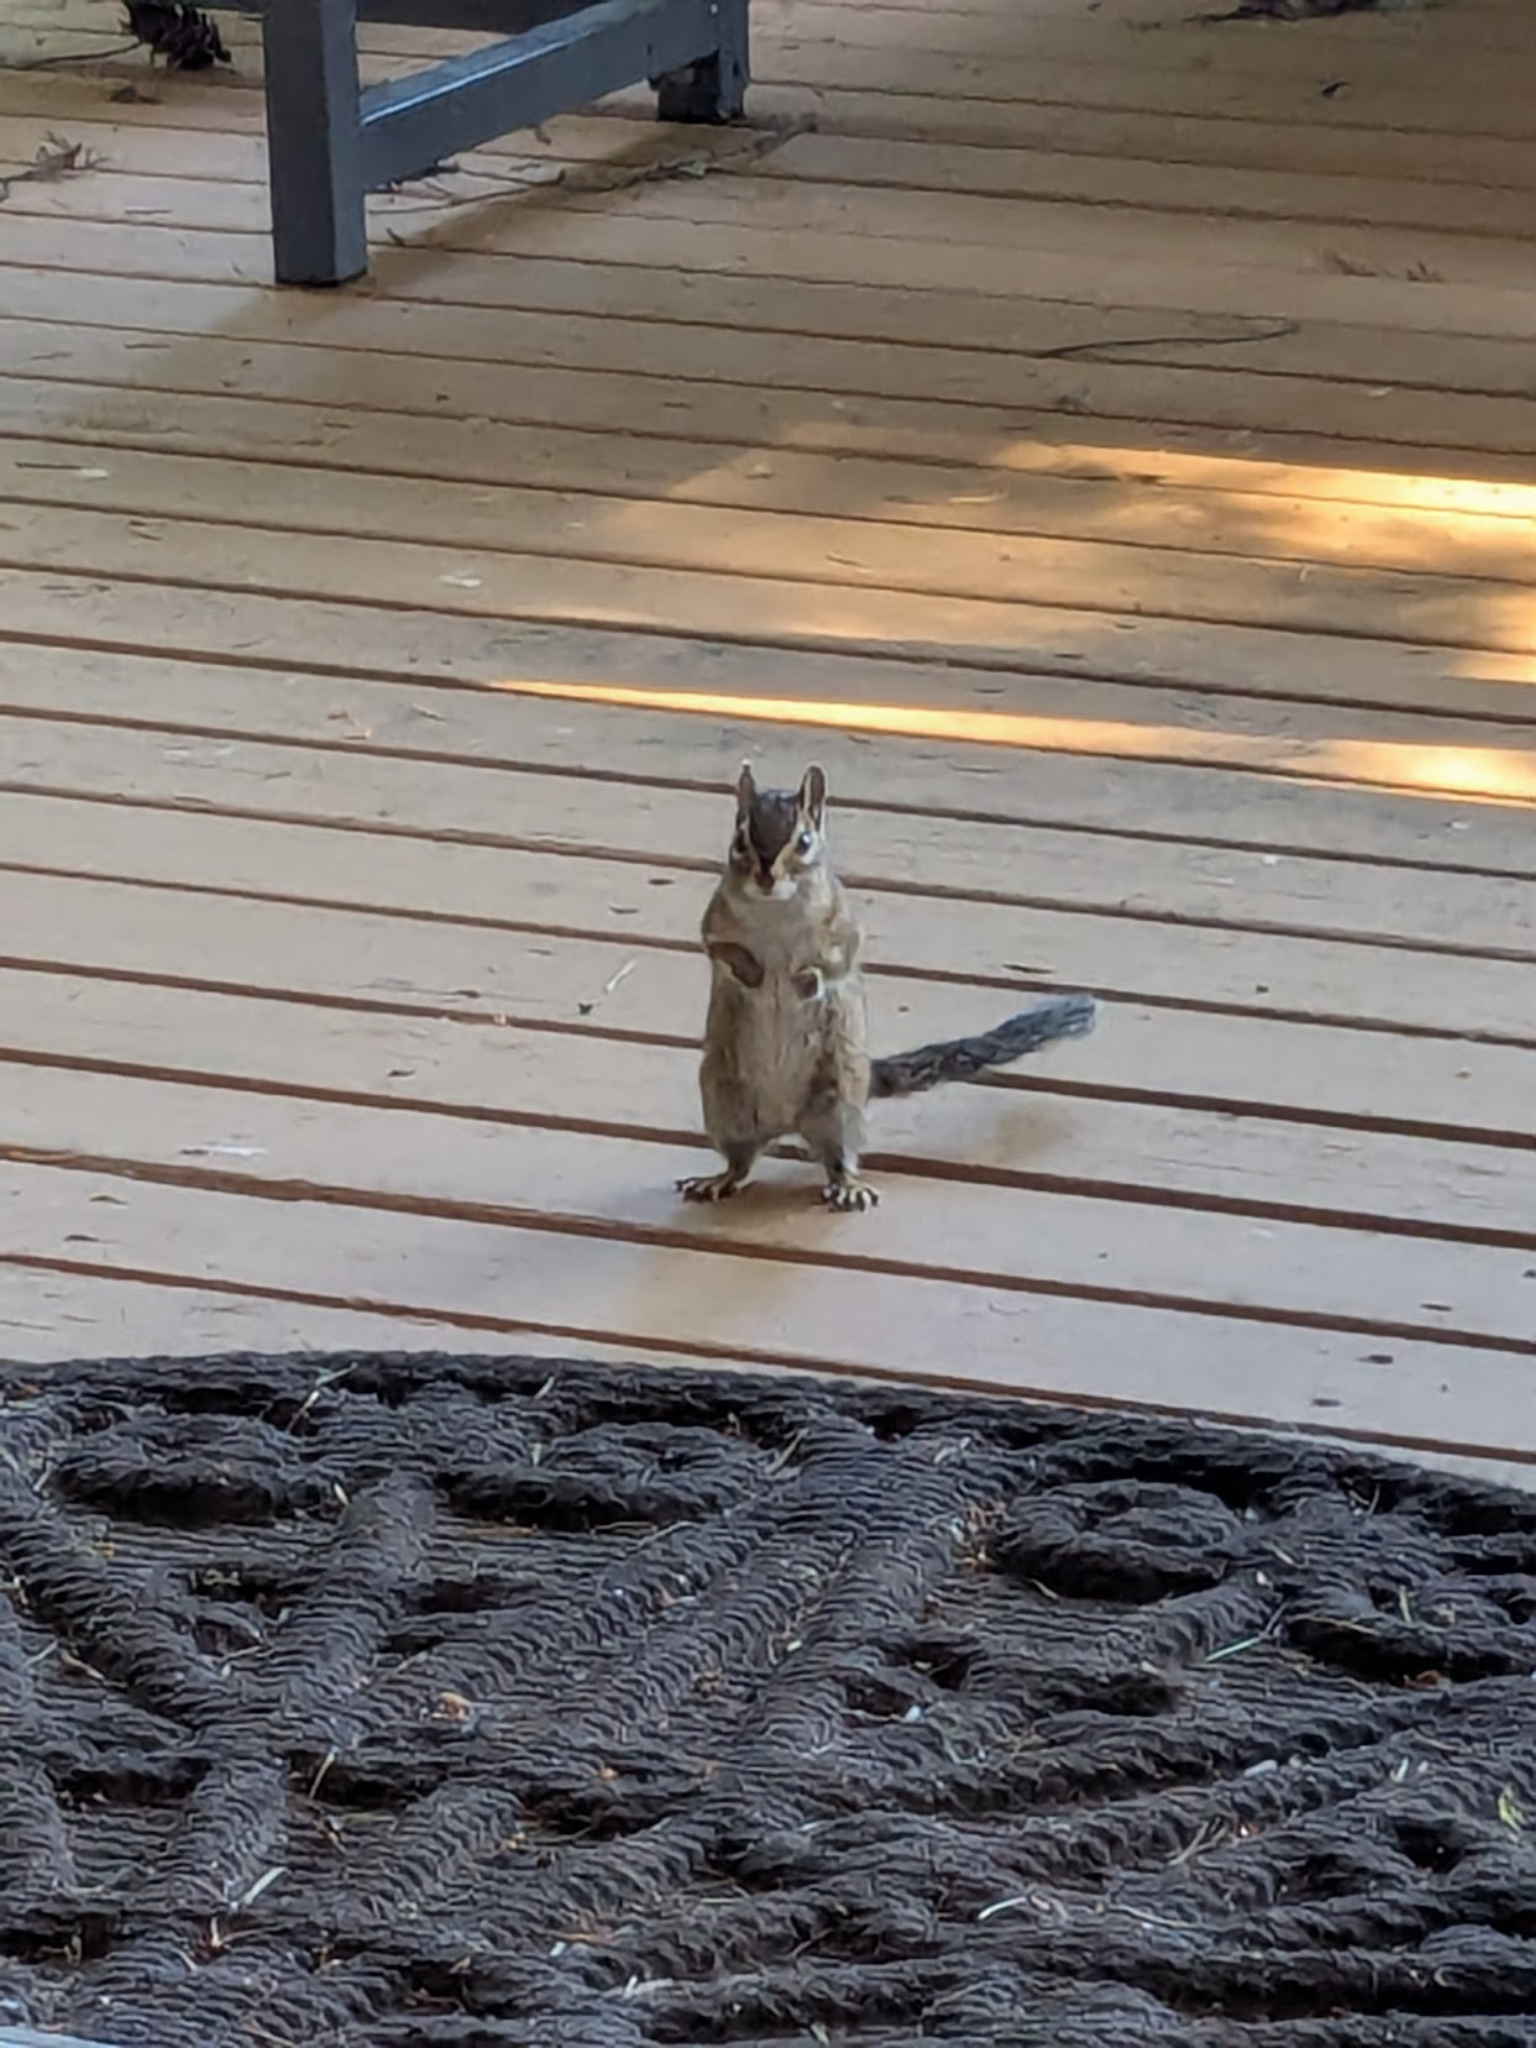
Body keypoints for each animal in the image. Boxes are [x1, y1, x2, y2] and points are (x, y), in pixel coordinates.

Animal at [677, 762, 1098, 1213]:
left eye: (803, 842)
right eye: (740, 840)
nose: (765, 876)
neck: (776, 909)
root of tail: (786, 1120)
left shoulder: (843, 927)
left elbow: (836, 961)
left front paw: (806, 981)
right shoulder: (715, 921)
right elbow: (718, 947)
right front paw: (751, 971)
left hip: (839, 1103)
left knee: (838, 1157)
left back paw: (848, 1185)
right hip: (726, 1102)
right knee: (740, 1159)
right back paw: (718, 1179)